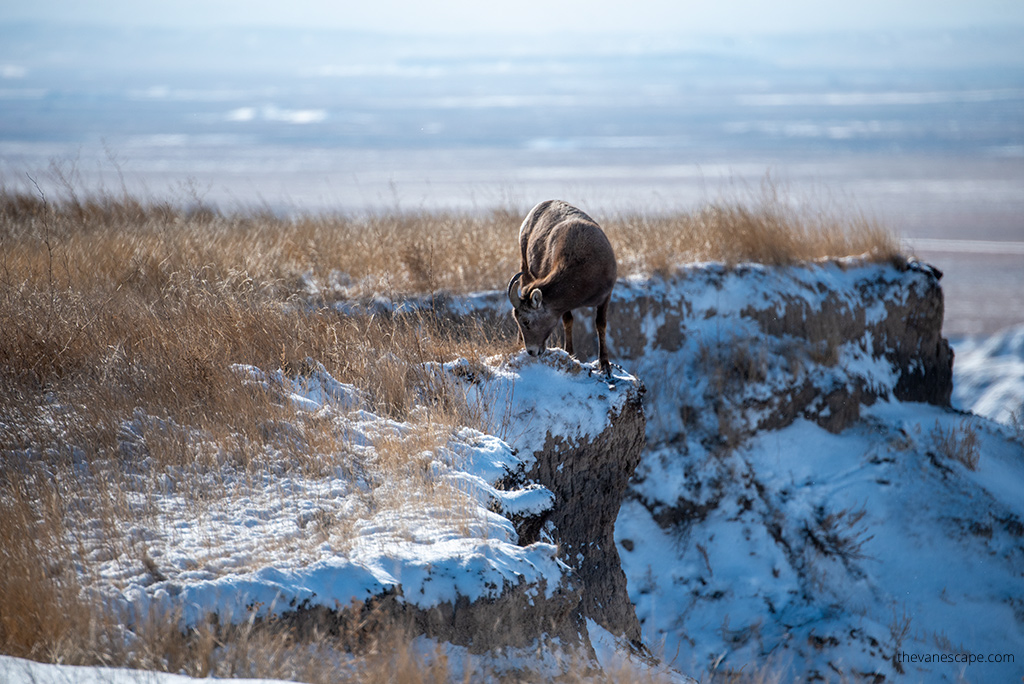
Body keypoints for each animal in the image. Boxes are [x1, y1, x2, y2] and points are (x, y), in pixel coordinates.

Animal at [505, 198, 614, 374]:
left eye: (526, 321)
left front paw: (605, 365)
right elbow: (568, 321)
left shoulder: (605, 297)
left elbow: (601, 325)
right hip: (525, 269)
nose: (531, 351)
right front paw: (570, 353)